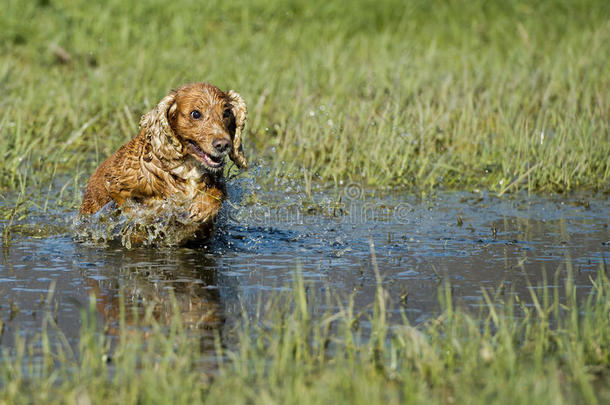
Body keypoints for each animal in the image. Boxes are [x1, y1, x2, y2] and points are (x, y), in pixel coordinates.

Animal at [80, 81, 247, 240]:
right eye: (195, 114)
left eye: (226, 112)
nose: (223, 145)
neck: (187, 166)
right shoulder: (116, 183)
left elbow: (216, 196)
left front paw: (202, 208)